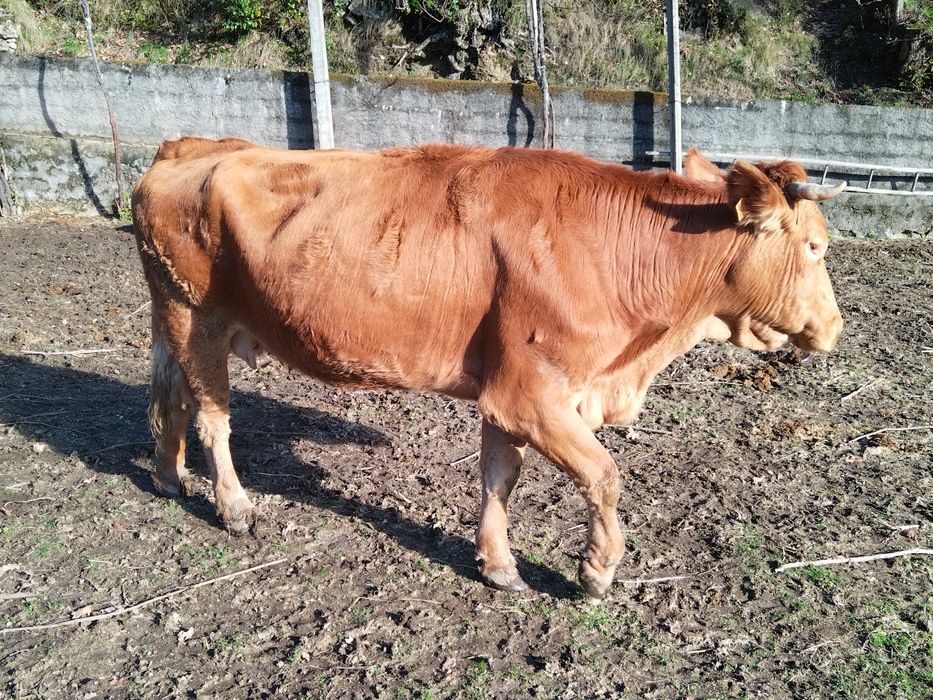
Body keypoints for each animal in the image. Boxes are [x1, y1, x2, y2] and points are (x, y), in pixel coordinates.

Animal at [131, 137, 844, 599]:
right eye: (815, 245)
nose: (836, 329)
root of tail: (186, 149)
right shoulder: (533, 393)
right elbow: (604, 475)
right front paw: (597, 571)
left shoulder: (507, 389)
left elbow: (500, 476)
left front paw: (498, 563)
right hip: (197, 317)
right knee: (214, 417)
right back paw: (234, 506)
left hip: (176, 323)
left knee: (171, 397)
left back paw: (167, 475)